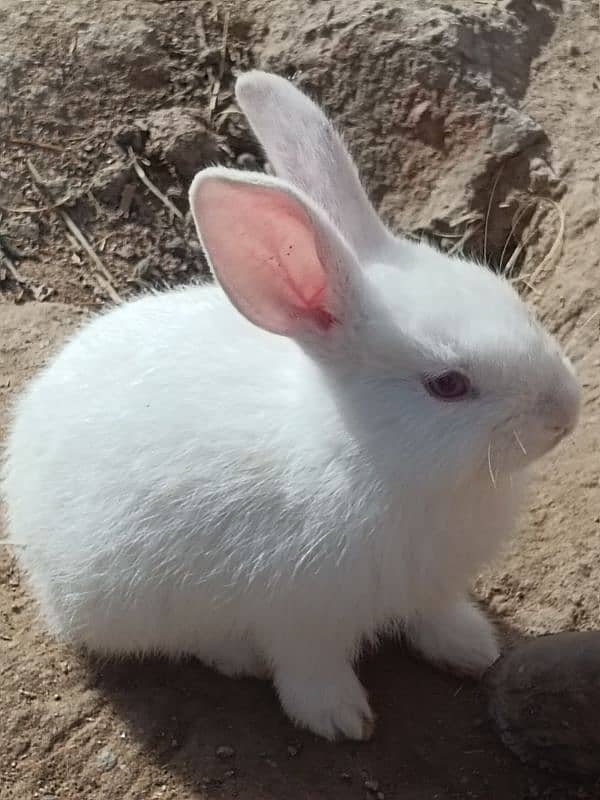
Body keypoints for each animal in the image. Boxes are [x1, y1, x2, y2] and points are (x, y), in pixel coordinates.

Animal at [1, 72, 580, 740]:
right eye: (448, 385)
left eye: (506, 292)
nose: (567, 412)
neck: (368, 459)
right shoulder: (300, 620)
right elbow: (310, 669)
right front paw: (342, 720)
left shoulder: (431, 589)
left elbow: (435, 618)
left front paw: (472, 650)